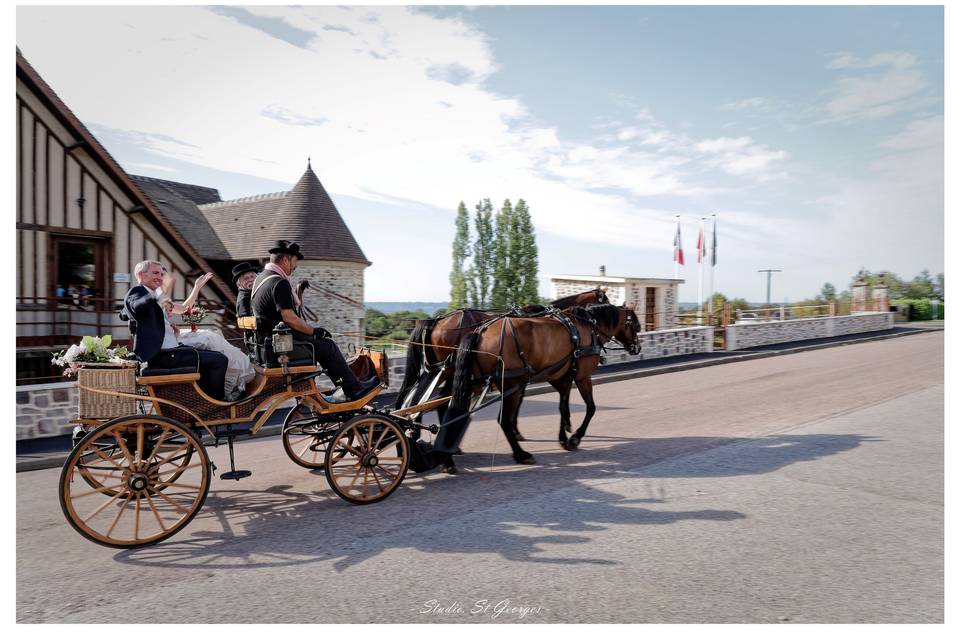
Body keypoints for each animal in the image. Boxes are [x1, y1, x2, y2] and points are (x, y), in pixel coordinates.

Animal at [434, 302, 640, 472]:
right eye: (636, 326)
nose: (637, 348)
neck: (588, 329)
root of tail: (480, 331)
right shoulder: (582, 377)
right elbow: (591, 408)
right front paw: (575, 438)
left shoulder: (561, 378)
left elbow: (563, 407)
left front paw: (564, 437)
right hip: (510, 385)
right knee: (503, 420)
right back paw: (521, 454)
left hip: (474, 381)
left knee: (448, 403)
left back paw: (447, 457)